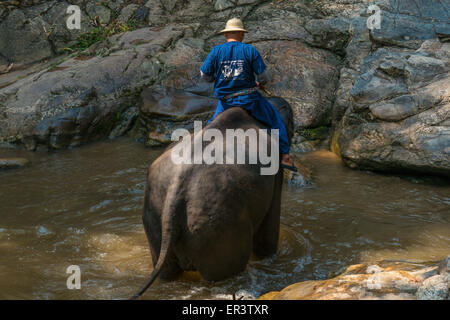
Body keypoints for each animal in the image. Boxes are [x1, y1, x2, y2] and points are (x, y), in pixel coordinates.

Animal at [132, 96, 294, 298]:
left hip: (154, 216)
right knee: (226, 271)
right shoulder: (274, 170)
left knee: (167, 273)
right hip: (218, 225)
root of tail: (175, 190)